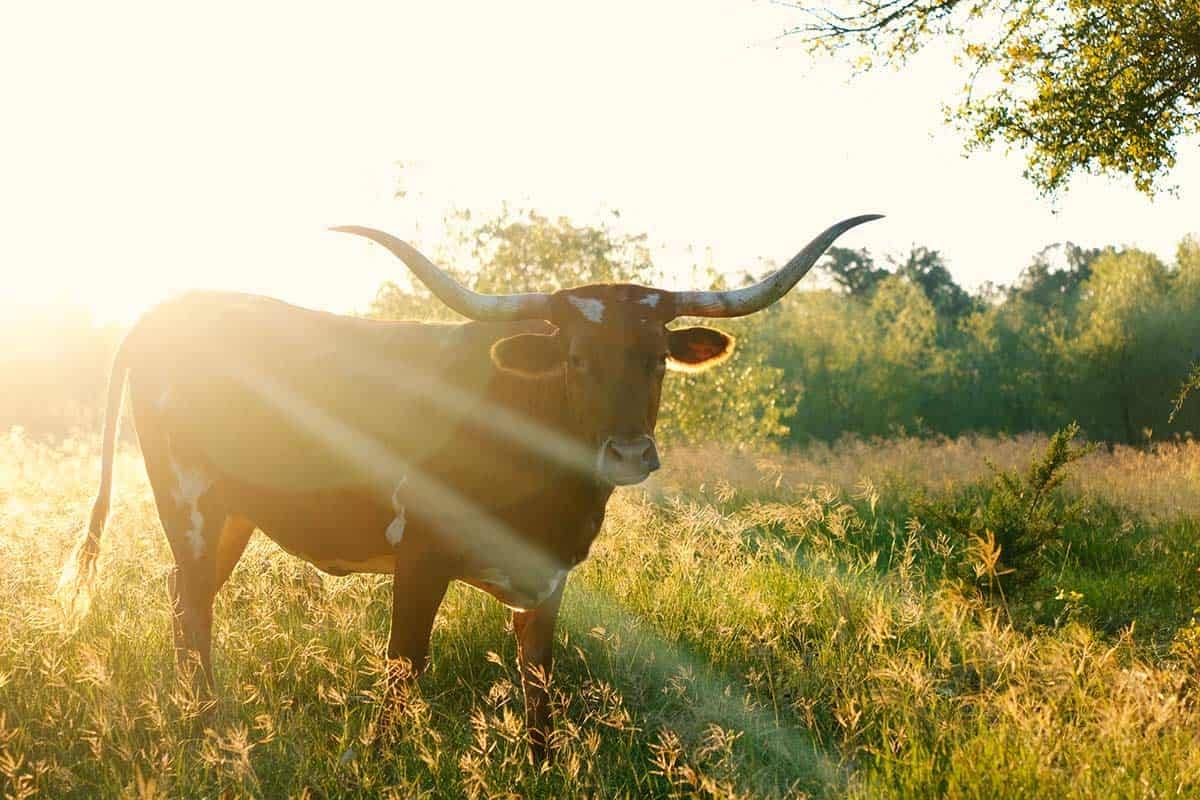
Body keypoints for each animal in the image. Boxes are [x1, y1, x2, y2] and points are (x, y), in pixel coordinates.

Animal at [58, 214, 881, 761]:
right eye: (575, 358)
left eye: (656, 358)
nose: (627, 452)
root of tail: (165, 311)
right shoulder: (421, 561)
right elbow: (402, 670)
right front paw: (381, 762)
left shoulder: (548, 576)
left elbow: (539, 680)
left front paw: (542, 765)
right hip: (191, 498)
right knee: (193, 607)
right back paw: (208, 728)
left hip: (233, 513)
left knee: (181, 596)